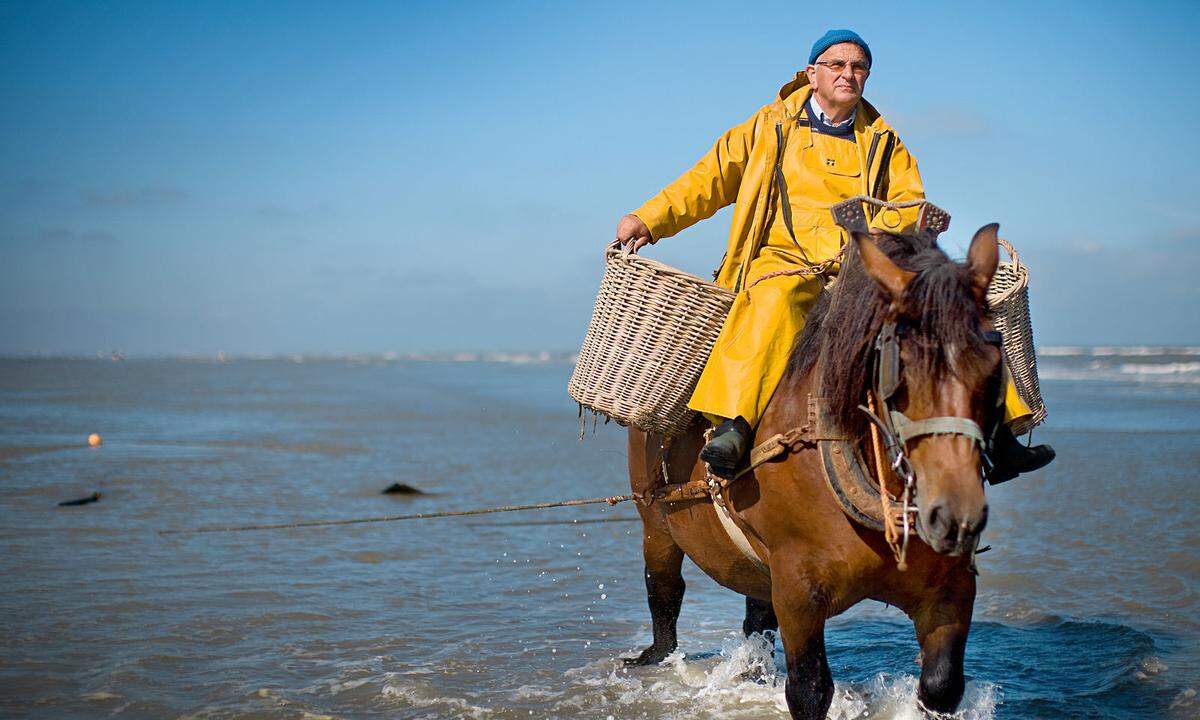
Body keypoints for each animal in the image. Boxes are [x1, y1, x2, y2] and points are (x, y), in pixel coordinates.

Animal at [624, 223, 1008, 715]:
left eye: (994, 366)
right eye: (900, 368)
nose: (956, 516)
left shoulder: (951, 589)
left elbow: (941, 686)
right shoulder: (798, 592)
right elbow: (809, 690)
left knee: (755, 615)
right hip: (655, 519)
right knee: (664, 591)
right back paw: (656, 654)